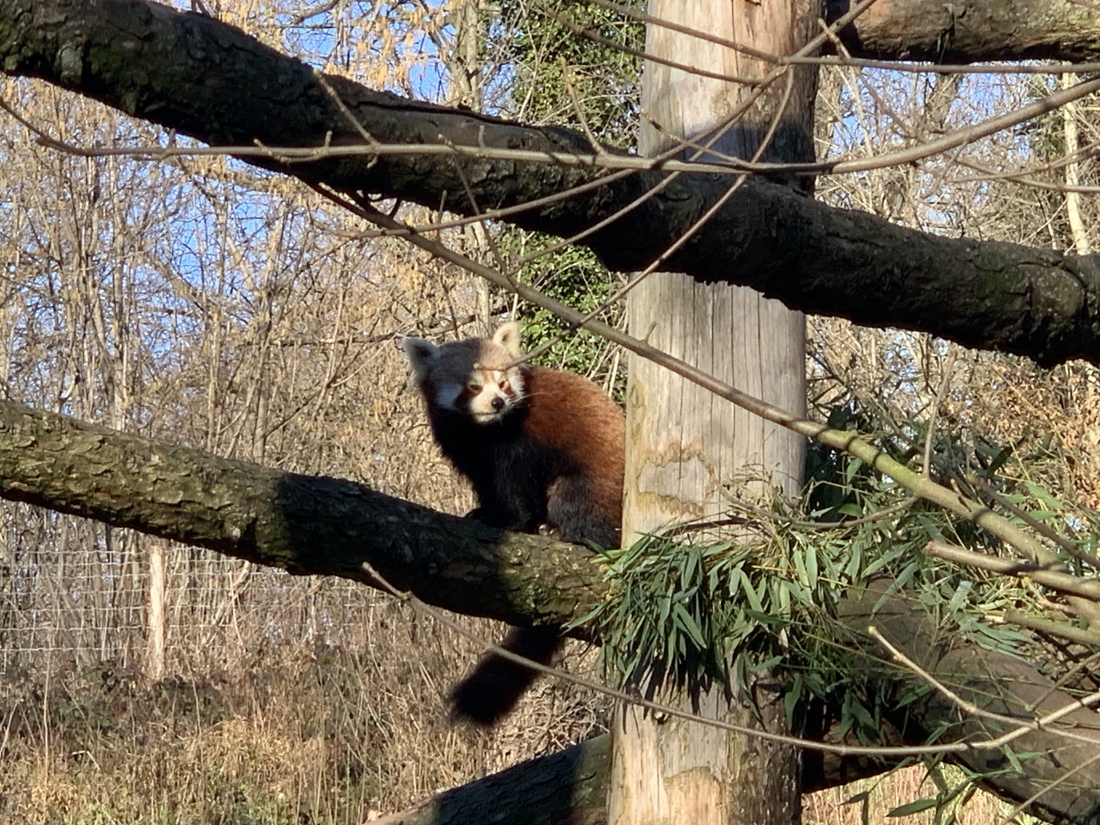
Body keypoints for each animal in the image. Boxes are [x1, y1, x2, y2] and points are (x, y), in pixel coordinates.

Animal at [404, 321, 629, 721]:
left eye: (503, 382)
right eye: (473, 386)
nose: (497, 402)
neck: (483, 431)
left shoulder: (521, 443)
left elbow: (516, 487)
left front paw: (508, 521)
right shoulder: (467, 450)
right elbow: (487, 484)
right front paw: (483, 513)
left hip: (594, 481)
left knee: (578, 505)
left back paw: (565, 533)